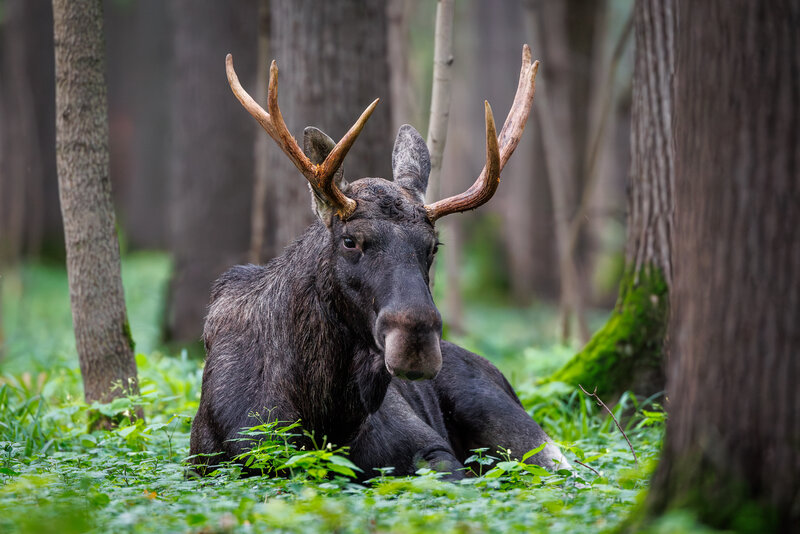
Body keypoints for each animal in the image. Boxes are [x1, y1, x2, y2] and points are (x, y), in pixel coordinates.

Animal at [189, 45, 568, 480]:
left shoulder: (432, 448)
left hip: (519, 432)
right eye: (350, 241)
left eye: (433, 247)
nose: (416, 342)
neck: (326, 419)